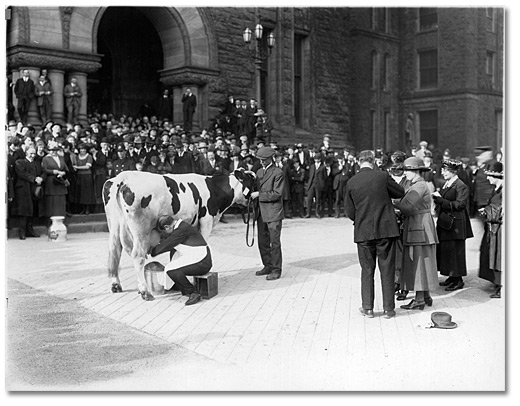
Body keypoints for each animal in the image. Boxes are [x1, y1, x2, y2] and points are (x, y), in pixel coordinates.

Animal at [101, 170, 256, 300]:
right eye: (252, 181)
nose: (256, 199)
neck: (213, 188)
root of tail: (123, 177)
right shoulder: (206, 221)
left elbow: (175, 253)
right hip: (140, 230)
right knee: (138, 256)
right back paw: (144, 292)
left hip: (114, 225)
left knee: (114, 252)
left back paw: (116, 285)